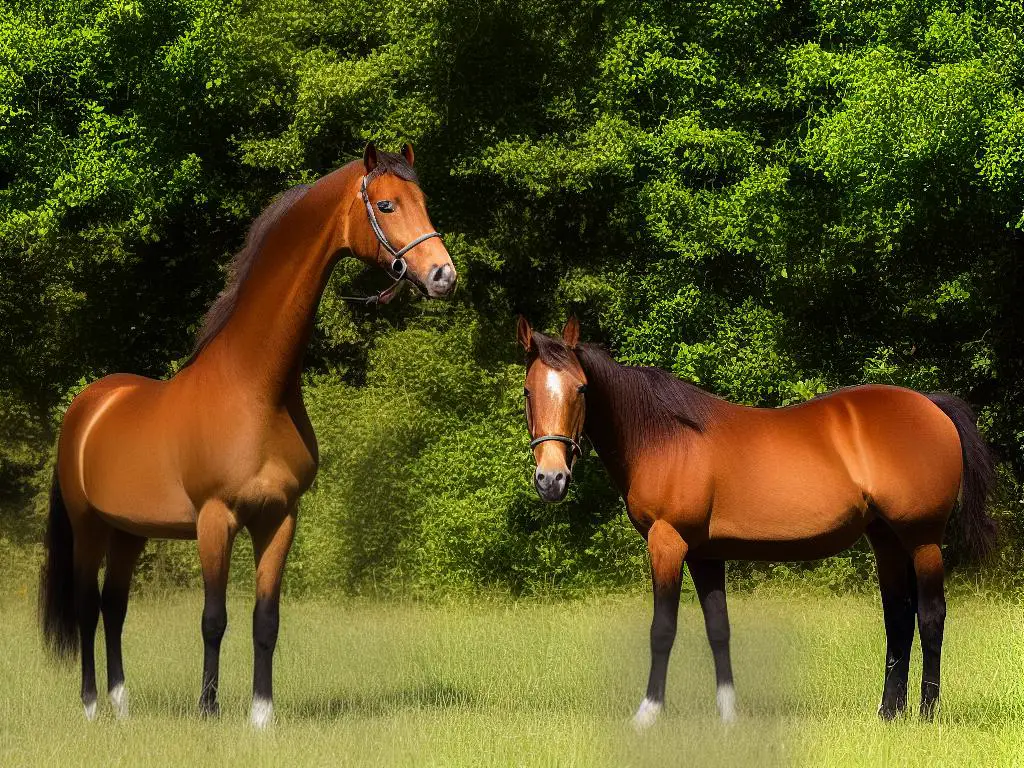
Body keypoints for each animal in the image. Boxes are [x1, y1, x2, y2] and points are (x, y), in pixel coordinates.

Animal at [39, 143, 456, 729]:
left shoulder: (279, 519)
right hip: (87, 525)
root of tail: (88, 405)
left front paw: (262, 715)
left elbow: (266, 619)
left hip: (129, 533)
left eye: (424, 200)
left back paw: (122, 705)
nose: (444, 275)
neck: (255, 388)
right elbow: (214, 618)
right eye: (387, 205)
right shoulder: (216, 519)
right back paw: (93, 706)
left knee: (113, 607)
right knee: (85, 608)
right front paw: (209, 709)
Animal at [516, 315, 995, 729]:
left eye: (581, 388)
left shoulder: (667, 542)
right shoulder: (705, 554)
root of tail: (932, 405)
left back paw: (927, 713)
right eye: (527, 391)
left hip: (923, 539)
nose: (551, 479)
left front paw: (648, 714)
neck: (665, 435)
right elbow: (718, 629)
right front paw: (729, 715)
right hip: (886, 540)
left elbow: (663, 629)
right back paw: (888, 712)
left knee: (930, 615)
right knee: (898, 616)